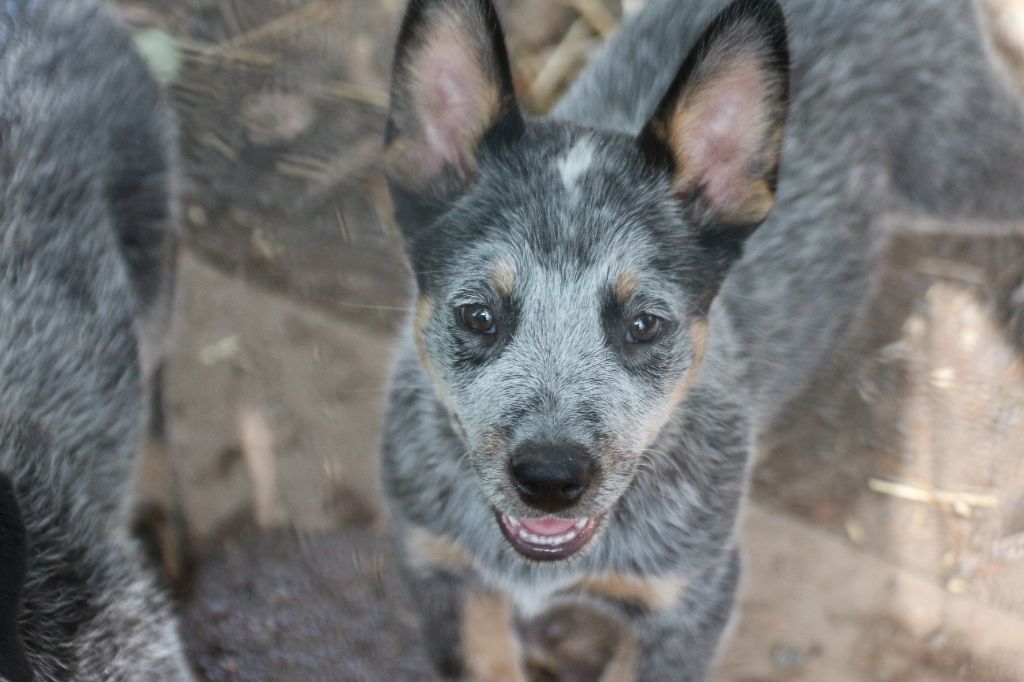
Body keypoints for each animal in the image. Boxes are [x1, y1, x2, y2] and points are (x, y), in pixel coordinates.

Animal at [382, 0, 1024, 675]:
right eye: (479, 315)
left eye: (643, 325)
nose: (550, 479)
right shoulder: (436, 567)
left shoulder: (694, 599)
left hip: (967, 170)